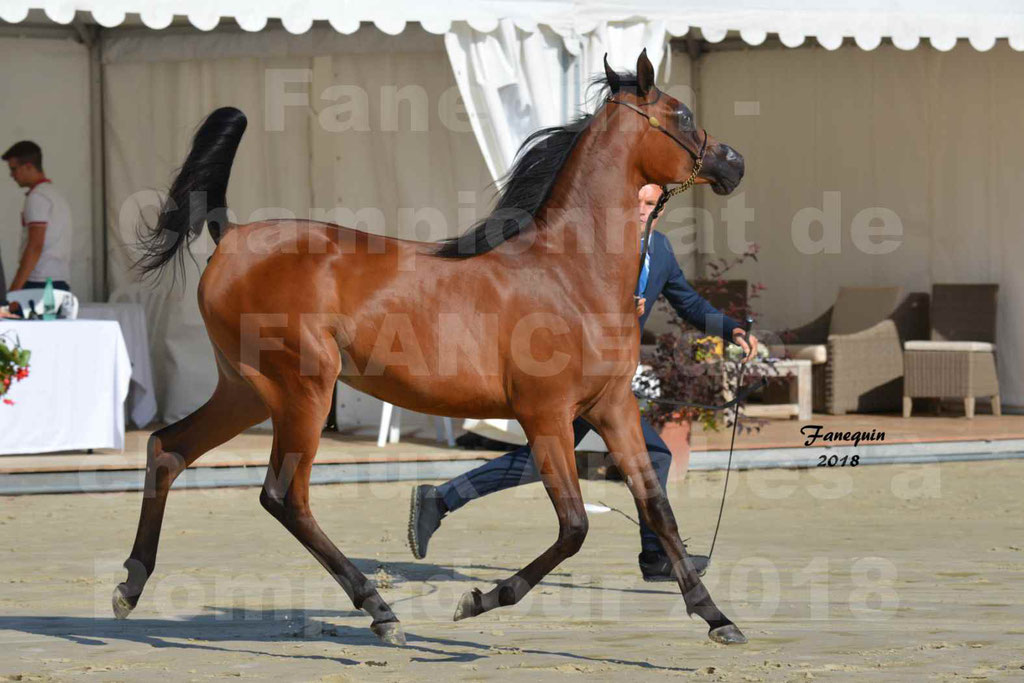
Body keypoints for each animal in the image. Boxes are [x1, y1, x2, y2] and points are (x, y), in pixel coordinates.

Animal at [116, 48, 749, 647]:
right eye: (681, 114)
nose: (734, 162)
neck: (569, 269)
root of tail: (232, 237)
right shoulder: (546, 416)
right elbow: (574, 526)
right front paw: (478, 600)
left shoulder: (612, 407)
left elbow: (657, 508)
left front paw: (717, 618)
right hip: (302, 390)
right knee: (283, 496)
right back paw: (381, 611)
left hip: (246, 390)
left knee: (168, 449)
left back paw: (130, 585)